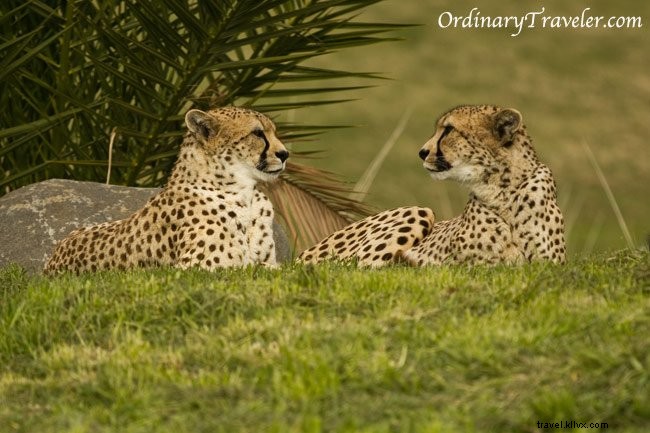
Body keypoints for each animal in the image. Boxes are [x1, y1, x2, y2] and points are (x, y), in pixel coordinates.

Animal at [44, 107, 289, 274]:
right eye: (258, 133)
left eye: (273, 132)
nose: (285, 154)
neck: (246, 194)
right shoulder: (196, 268)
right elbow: (265, 267)